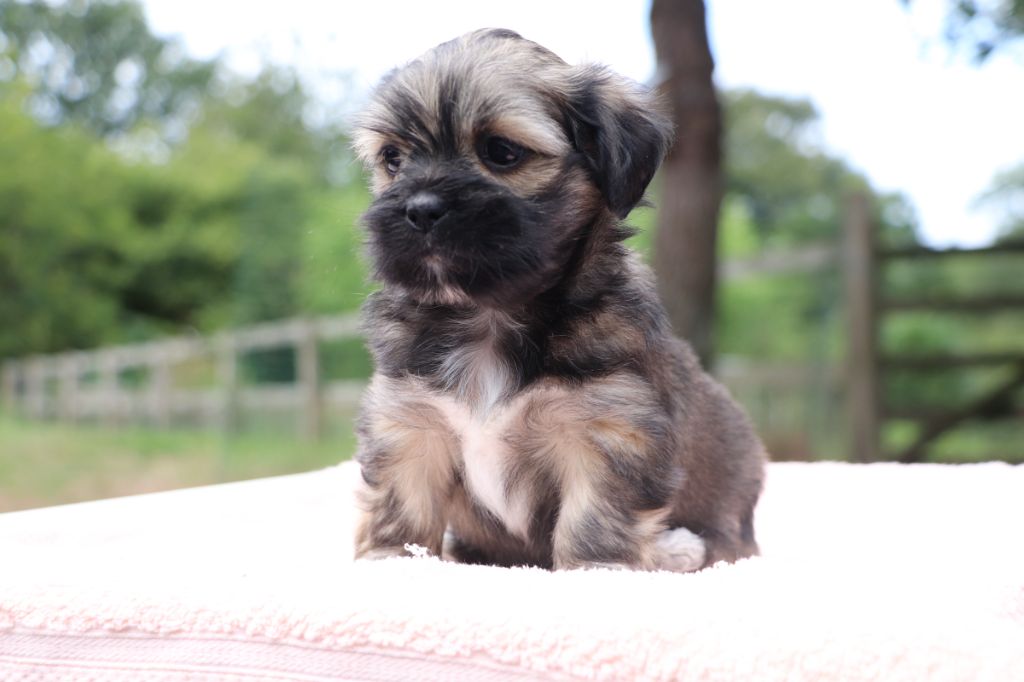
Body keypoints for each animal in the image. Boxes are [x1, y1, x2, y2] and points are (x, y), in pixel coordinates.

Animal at [351, 29, 765, 571]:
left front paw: (598, 568)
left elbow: (594, 516)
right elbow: (401, 502)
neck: (488, 315)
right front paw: (391, 558)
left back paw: (676, 548)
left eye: (502, 151)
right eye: (392, 158)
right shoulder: (409, 423)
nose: (420, 210)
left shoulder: (608, 429)